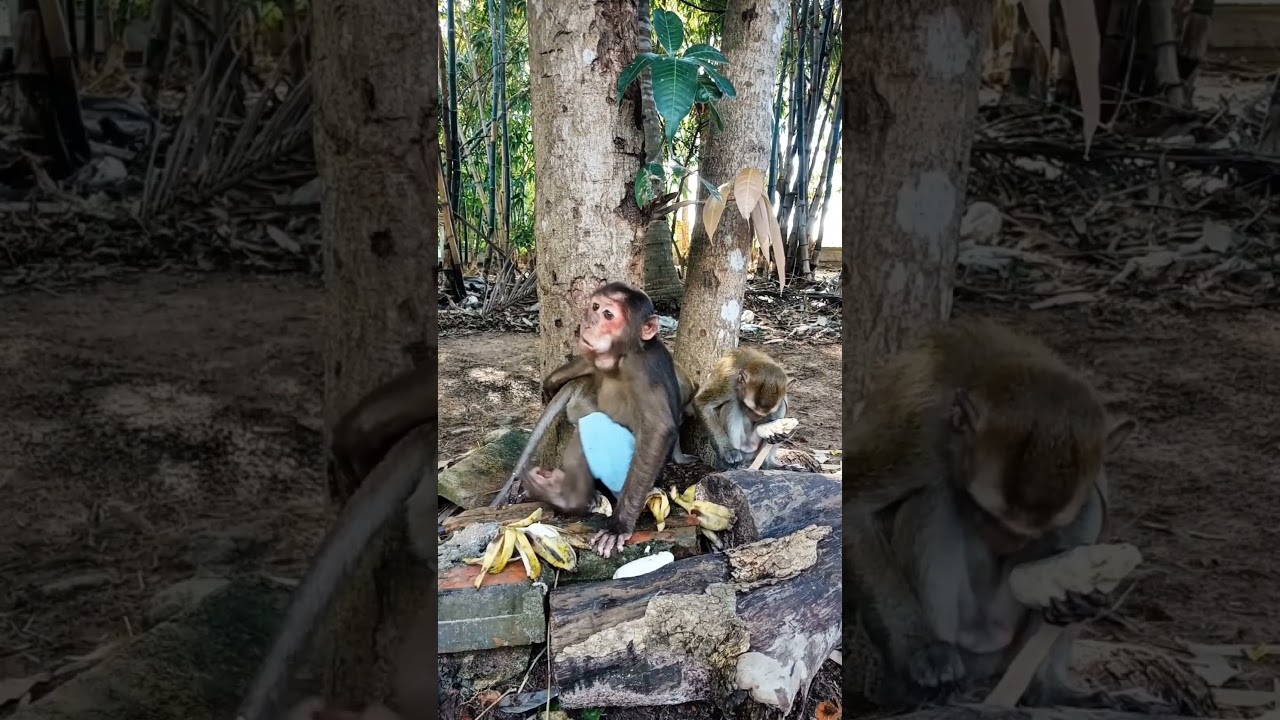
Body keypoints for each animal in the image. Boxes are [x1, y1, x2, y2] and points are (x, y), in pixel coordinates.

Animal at [515, 281, 682, 559]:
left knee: (594, 423)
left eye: (608, 315)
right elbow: (588, 363)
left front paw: (619, 526)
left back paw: (571, 498)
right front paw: (553, 380)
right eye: (594, 307)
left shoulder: (643, 369)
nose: (589, 322)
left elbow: (658, 430)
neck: (623, 356)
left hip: (623, 477)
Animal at [843, 318, 1159, 713]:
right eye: (988, 513)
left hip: (1004, 646)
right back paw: (927, 693)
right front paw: (923, 650)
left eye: (1030, 532)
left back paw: (1048, 689)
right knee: (932, 497)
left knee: (1086, 510)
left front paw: (1080, 595)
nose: (1009, 543)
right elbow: (853, 506)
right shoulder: (918, 436)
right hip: (966, 643)